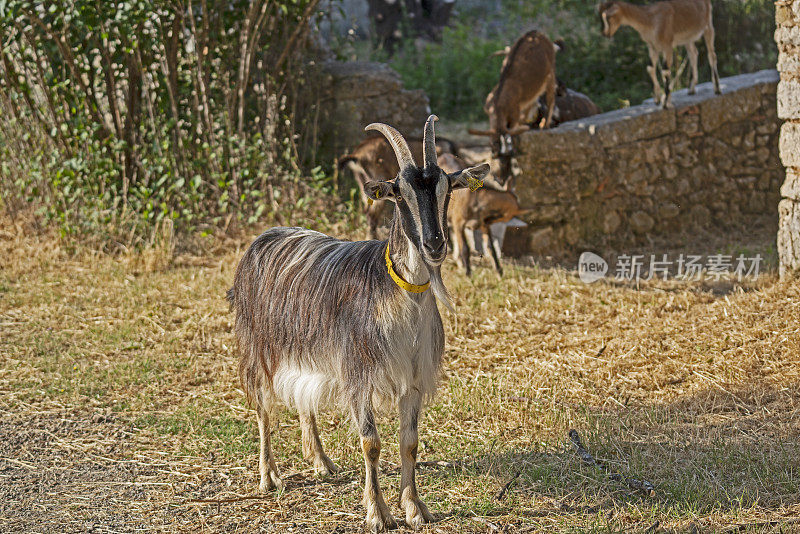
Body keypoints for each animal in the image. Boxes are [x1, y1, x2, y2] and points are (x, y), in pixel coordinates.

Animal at [227, 115, 488, 532]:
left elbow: (409, 442)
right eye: (399, 195)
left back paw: (321, 461)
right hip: (259, 346)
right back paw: (269, 477)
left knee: (303, 396)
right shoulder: (359, 373)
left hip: (306, 348)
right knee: (263, 405)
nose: (434, 245)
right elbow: (371, 443)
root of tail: (261, 240)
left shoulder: (413, 376)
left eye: (447, 189)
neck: (397, 292)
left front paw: (414, 508)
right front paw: (378, 513)